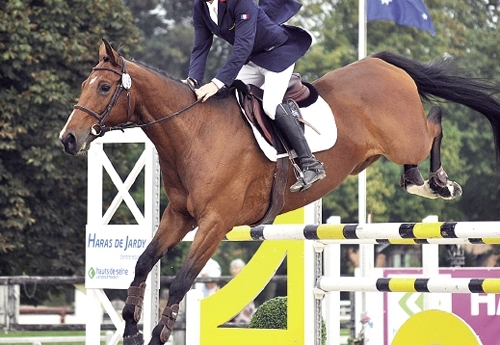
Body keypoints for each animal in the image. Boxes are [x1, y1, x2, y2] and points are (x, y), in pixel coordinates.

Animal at [60, 39, 500, 342]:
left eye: (103, 88)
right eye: (85, 84)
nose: (68, 139)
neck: (193, 133)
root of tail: (380, 63)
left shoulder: (215, 223)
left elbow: (183, 279)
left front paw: (159, 333)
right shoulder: (179, 217)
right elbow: (142, 263)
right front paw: (131, 327)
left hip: (405, 138)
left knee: (435, 121)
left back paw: (439, 183)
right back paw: (418, 181)